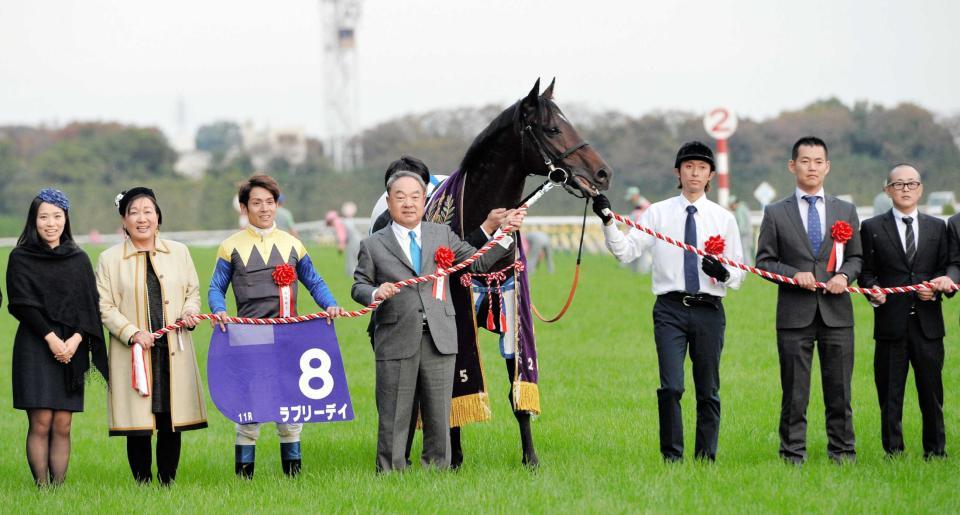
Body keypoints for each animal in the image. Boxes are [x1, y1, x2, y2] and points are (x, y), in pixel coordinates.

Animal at [424, 77, 612, 468]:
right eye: (552, 128)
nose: (603, 172)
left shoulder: (511, 306)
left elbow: (516, 391)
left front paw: (530, 458)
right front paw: (455, 458)